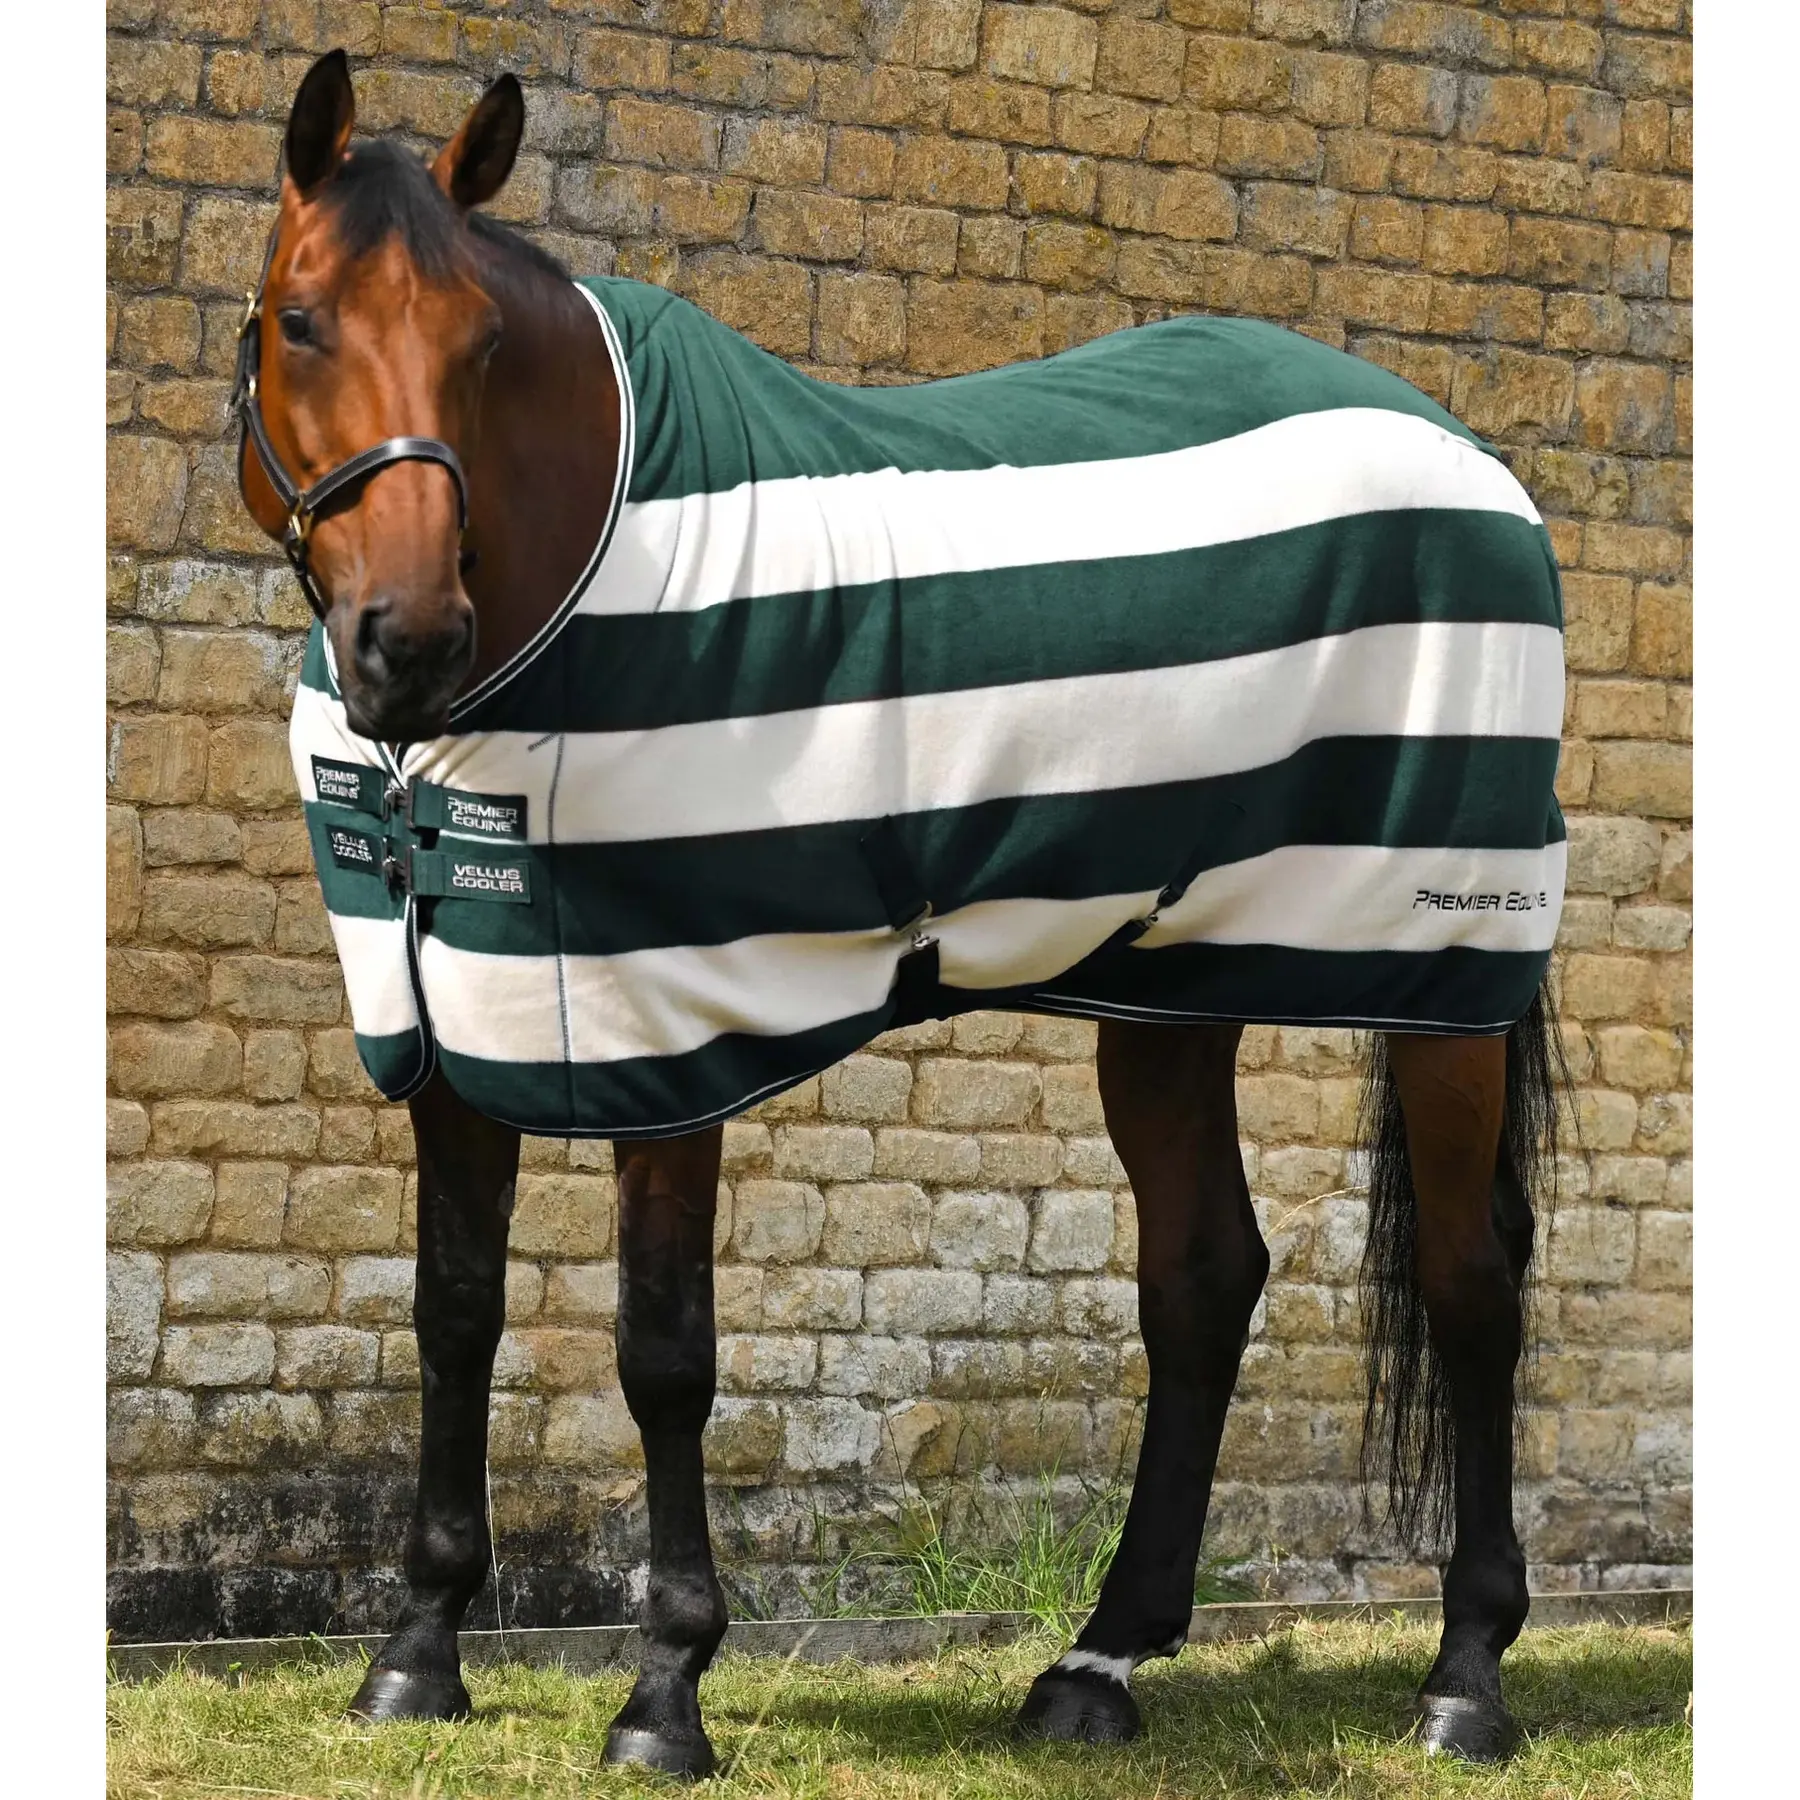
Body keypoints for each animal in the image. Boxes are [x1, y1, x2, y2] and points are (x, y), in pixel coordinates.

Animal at [233, 52, 1569, 1777]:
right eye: (300, 320)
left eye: (483, 344)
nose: (407, 641)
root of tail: (1471, 459)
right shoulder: (453, 1021)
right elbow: (452, 1312)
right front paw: (416, 1652)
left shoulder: (671, 1028)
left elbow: (663, 1351)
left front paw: (665, 1690)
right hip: (1173, 978)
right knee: (1204, 1277)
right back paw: (1098, 1664)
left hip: (1441, 972)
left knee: (1473, 1285)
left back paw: (1466, 1677)